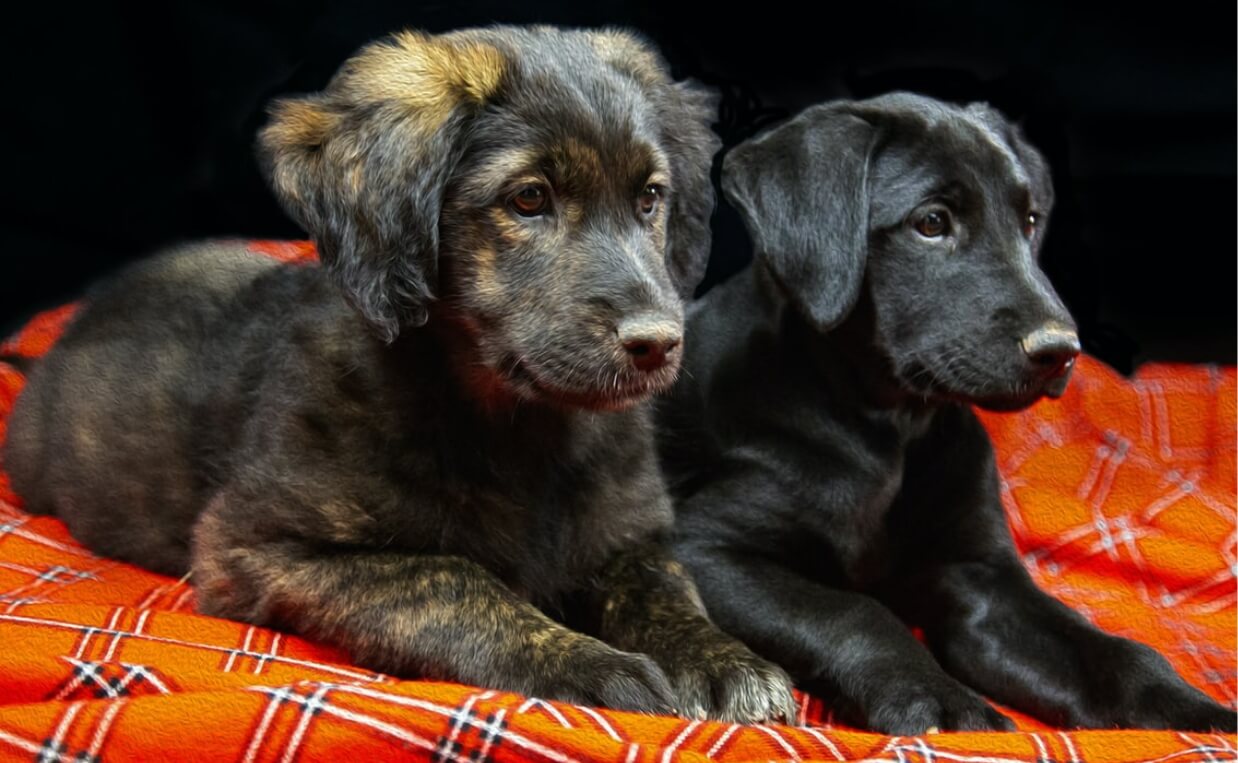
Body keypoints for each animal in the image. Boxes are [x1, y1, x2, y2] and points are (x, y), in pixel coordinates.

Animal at [2, 25, 792, 723]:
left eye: (650, 197)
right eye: (529, 198)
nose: (658, 344)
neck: (518, 425)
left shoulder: (631, 535)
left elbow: (665, 586)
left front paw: (726, 661)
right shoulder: (253, 545)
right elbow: (449, 579)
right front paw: (590, 664)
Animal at [658, 94, 1228, 733]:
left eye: (1029, 221)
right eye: (931, 223)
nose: (1061, 350)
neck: (891, 427)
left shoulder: (981, 580)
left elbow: (1109, 649)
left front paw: (1195, 712)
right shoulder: (708, 548)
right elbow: (852, 610)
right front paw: (941, 702)